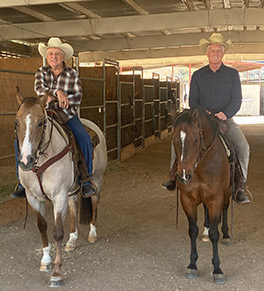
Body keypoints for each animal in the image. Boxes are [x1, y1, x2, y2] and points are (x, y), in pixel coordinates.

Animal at [14, 89, 107, 288]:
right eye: (17, 123)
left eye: (41, 122)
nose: (25, 161)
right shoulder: (33, 197)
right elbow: (42, 226)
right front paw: (46, 261)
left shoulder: (58, 195)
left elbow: (57, 232)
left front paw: (56, 273)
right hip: (71, 191)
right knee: (73, 207)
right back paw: (72, 240)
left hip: (97, 179)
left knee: (95, 202)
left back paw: (92, 233)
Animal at [171, 106, 231, 286]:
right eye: (173, 139)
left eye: (196, 139)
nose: (184, 176)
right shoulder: (187, 200)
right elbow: (192, 230)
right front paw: (192, 265)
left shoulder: (216, 199)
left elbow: (215, 234)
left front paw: (217, 270)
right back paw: (205, 230)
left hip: (227, 193)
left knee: (226, 209)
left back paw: (226, 235)